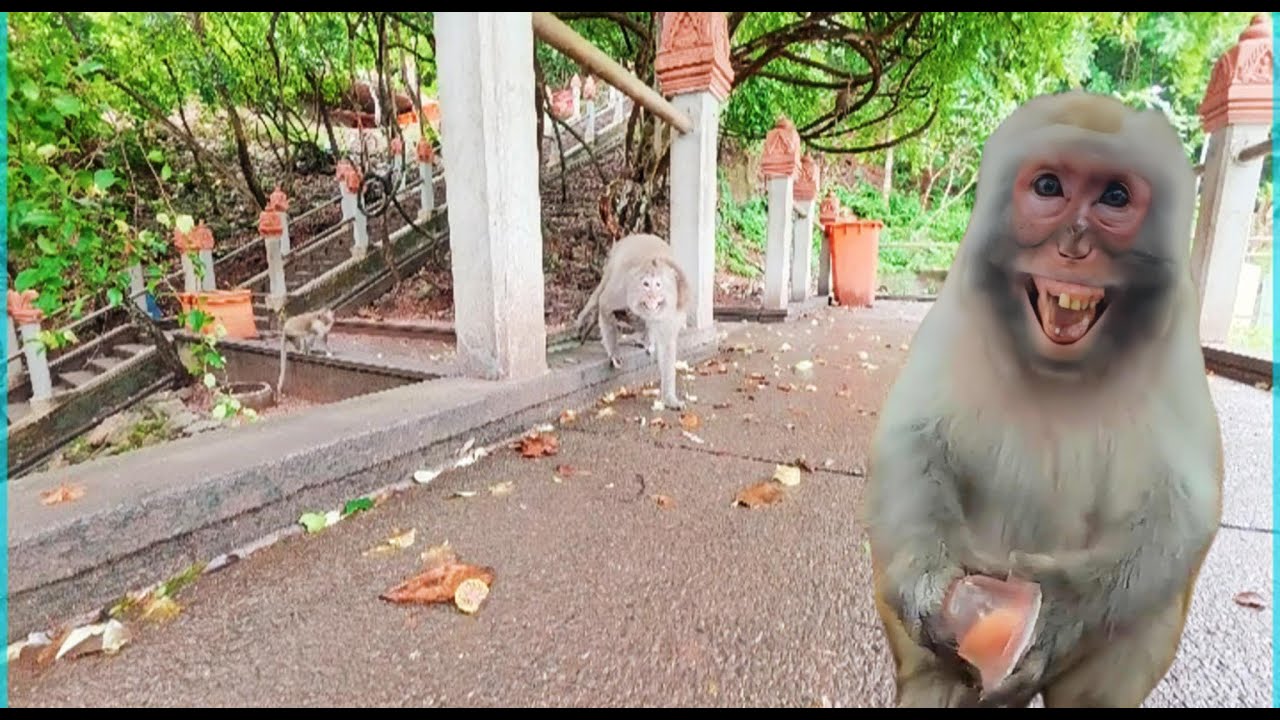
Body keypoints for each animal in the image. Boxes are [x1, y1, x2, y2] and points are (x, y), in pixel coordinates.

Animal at [574, 233, 691, 410]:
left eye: (658, 284)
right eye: (646, 284)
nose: (652, 296)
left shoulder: (669, 309)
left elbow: (667, 346)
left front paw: (670, 399)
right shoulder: (624, 290)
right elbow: (605, 304)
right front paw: (614, 352)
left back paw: (644, 335)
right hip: (613, 264)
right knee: (599, 295)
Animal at [862, 90, 1222, 708]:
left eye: (1115, 196)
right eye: (1049, 187)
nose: (1074, 243)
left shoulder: (1178, 339)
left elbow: (1183, 503)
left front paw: (1056, 608)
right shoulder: (955, 314)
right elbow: (911, 439)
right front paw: (932, 579)